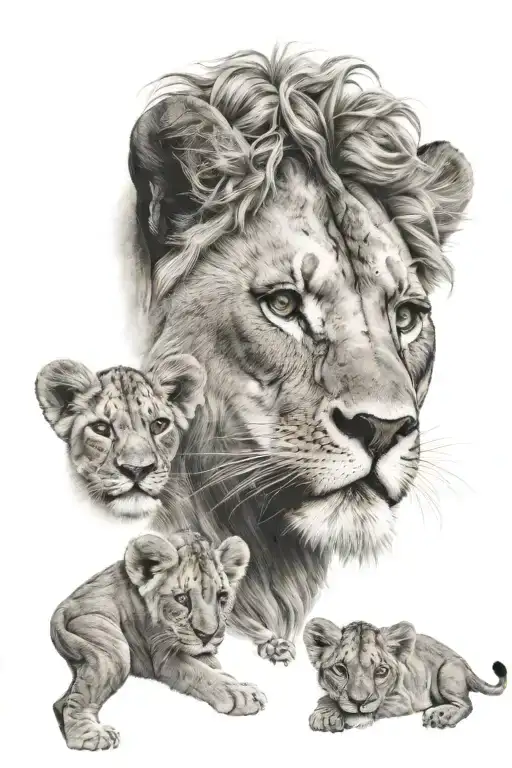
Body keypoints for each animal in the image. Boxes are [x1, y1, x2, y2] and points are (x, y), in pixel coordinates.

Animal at [51, 529, 266, 751]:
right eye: (182, 599)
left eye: (222, 597)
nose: (207, 636)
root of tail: (62, 607)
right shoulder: (163, 654)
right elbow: (202, 673)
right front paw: (239, 694)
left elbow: (215, 669)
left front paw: (240, 684)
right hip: (109, 644)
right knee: (77, 699)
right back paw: (89, 735)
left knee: (62, 701)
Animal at [304, 618, 507, 732]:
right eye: (340, 670)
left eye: (381, 671)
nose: (359, 703)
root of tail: (466, 665)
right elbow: (327, 697)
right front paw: (324, 715)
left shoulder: (402, 700)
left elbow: (374, 708)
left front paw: (349, 717)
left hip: (446, 672)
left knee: (466, 704)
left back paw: (440, 716)